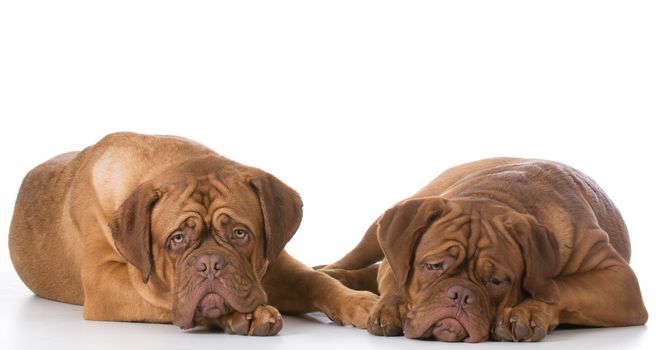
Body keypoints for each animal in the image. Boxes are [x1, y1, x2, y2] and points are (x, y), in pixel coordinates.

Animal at [7, 133, 376, 334]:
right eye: (177, 239)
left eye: (240, 233)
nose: (210, 263)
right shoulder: (105, 283)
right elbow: (162, 297)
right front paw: (245, 314)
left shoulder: (274, 267)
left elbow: (316, 281)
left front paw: (359, 303)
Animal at [326, 158, 648, 342]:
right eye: (433, 266)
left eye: (496, 281)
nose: (460, 294)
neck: (498, 194)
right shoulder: (397, 255)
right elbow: (394, 276)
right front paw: (391, 306)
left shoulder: (620, 281)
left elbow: (561, 287)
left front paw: (526, 312)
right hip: (382, 226)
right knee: (351, 262)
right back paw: (331, 277)